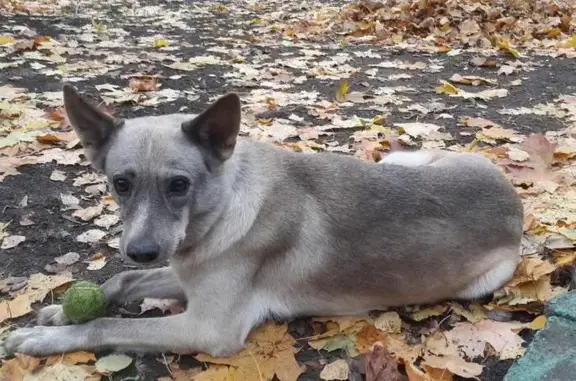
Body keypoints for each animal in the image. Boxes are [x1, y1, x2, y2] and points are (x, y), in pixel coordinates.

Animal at [3, 83, 520, 356]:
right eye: (121, 183)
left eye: (179, 185)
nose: (142, 250)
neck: (222, 210)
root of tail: (512, 197)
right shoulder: (184, 277)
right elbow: (123, 282)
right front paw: (60, 312)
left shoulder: (208, 327)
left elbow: (110, 326)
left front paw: (46, 337)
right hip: (399, 160)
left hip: (479, 283)